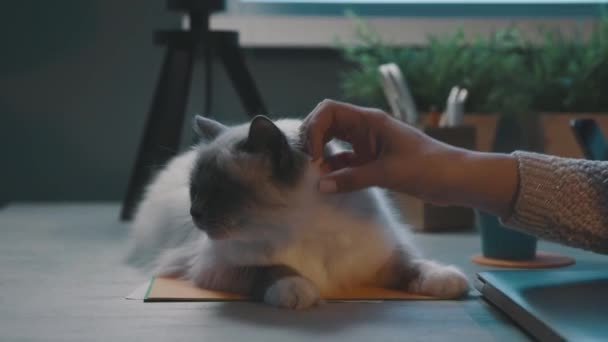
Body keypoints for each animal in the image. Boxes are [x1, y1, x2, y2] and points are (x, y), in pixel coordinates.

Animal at [127, 115, 470, 310]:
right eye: (195, 190)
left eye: (221, 192)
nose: (194, 212)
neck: (303, 227)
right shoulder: (217, 266)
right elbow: (271, 269)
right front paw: (299, 290)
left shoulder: (379, 259)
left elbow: (413, 265)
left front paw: (446, 279)